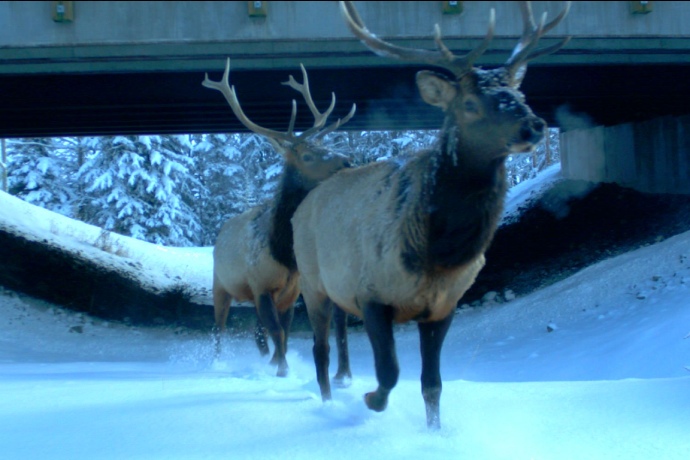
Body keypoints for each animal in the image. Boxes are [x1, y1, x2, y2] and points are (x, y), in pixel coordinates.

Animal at [203, 59, 354, 378]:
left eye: (326, 147)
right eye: (307, 155)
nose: (347, 160)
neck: (283, 254)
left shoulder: (290, 292)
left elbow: (282, 332)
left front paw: (279, 364)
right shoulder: (261, 284)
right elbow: (277, 331)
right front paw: (282, 369)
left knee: (257, 331)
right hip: (219, 284)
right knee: (219, 328)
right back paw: (218, 363)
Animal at [290, 0, 568, 428]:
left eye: (517, 90)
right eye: (470, 104)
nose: (534, 125)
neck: (435, 256)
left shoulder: (443, 305)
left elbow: (432, 385)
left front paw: (434, 432)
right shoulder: (370, 291)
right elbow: (389, 371)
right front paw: (370, 400)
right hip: (311, 281)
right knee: (319, 349)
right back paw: (327, 405)